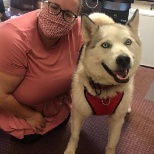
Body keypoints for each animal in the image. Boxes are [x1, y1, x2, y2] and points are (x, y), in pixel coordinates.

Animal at [64, 9, 141, 154]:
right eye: (105, 45)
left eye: (128, 42)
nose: (124, 59)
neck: (104, 89)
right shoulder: (78, 113)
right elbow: (74, 136)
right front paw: (70, 150)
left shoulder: (117, 120)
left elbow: (111, 144)